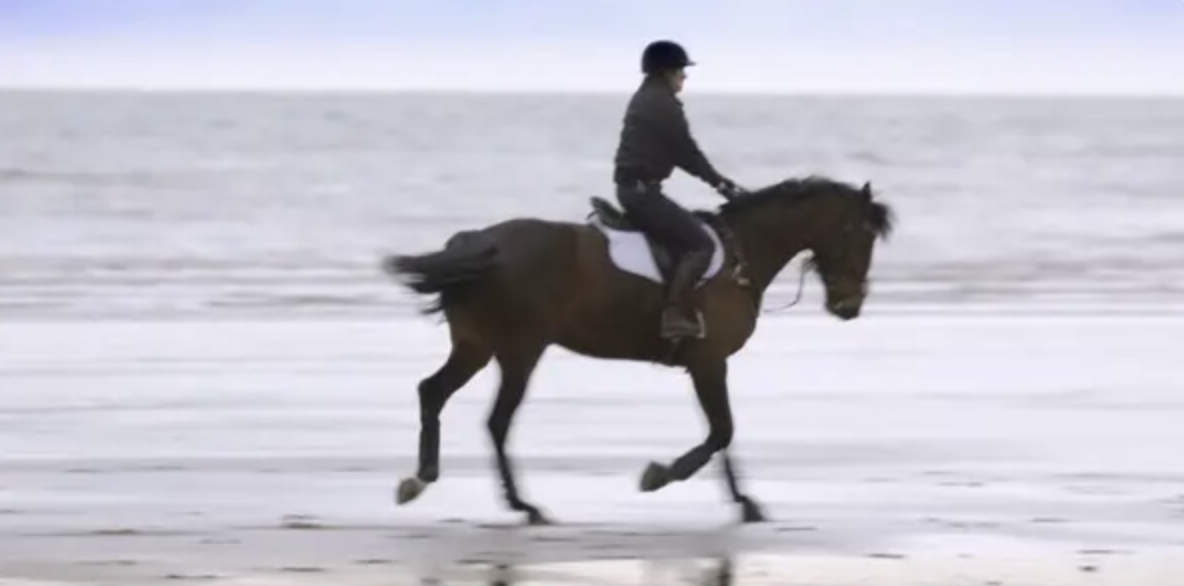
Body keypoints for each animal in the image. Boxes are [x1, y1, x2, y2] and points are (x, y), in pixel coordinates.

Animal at [383, 175, 890, 527]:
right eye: (860, 236)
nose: (850, 306)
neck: (741, 254)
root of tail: (481, 241)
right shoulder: (709, 361)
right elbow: (722, 430)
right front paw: (663, 474)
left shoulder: (709, 364)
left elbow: (722, 433)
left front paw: (745, 503)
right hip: (519, 352)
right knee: (497, 422)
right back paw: (524, 505)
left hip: (476, 346)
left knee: (432, 392)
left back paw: (421, 477)